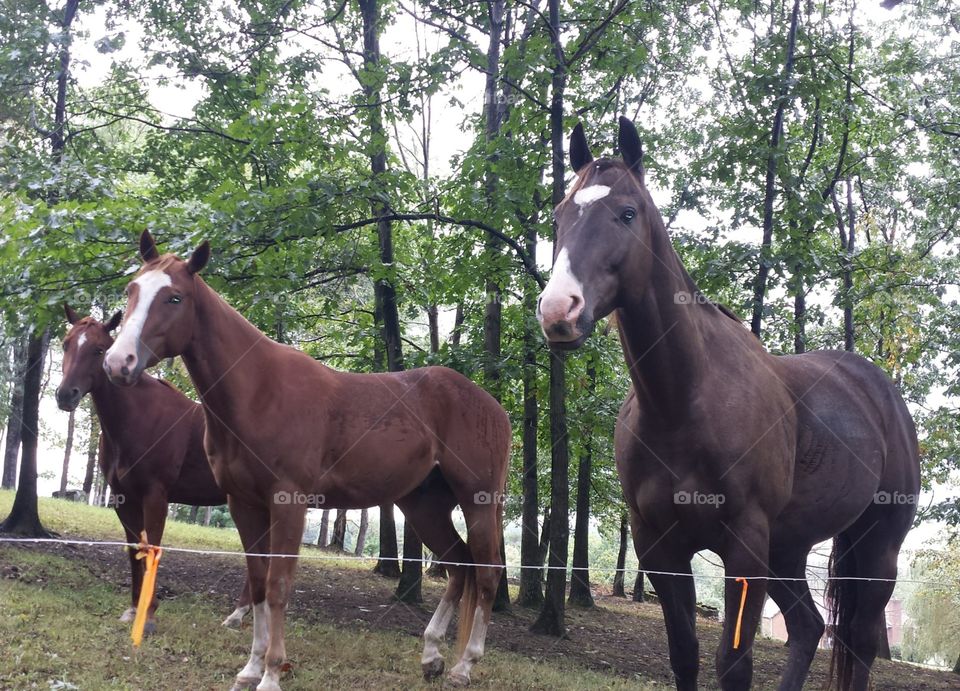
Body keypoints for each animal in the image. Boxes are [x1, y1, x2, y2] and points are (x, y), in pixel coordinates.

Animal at [56, 305, 252, 632]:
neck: (139, 418)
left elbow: (153, 548)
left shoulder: (155, 497)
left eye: (99, 349)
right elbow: (136, 550)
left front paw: (148, 614)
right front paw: (135, 609)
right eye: (66, 344)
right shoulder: (123, 499)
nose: (65, 395)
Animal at [102, 231, 511, 690]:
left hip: (478, 501)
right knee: (459, 564)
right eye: (131, 290)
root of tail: (493, 406)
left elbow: (279, 585)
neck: (260, 392)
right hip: (423, 504)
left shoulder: (288, 502)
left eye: (174, 297)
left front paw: (272, 673)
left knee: (488, 572)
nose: (118, 363)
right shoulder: (243, 503)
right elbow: (258, 583)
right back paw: (431, 655)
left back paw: (464, 665)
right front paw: (251, 668)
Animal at [536, 117, 920, 691]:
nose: (559, 310)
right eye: (560, 215)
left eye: (627, 213)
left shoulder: (744, 543)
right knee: (808, 627)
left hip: (877, 549)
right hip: (787, 551)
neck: (684, 405)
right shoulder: (660, 547)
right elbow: (685, 653)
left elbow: (733, 664)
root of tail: (879, 390)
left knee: (860, 643)